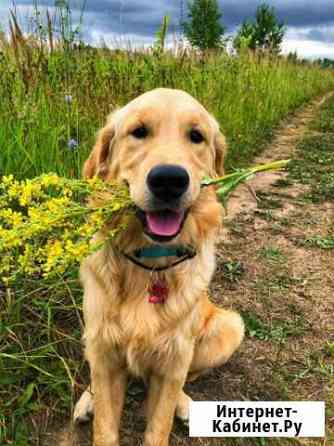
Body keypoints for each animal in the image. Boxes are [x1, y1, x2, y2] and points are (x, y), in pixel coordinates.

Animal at [74, 88, 244, 446]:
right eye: (139, 131)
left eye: (196, 136)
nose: (169, 180)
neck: (150, 264)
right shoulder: (104, 351)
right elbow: (106, 427)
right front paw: (95, 406)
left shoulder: (173, 359)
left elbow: (159, 425)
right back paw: (87, 401)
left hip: (228, 328)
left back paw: (185, 403)